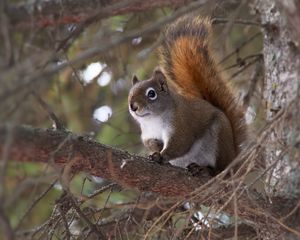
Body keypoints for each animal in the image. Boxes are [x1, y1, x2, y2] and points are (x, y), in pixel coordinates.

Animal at [127, 15, 247, 172]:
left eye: (151, 94)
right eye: (130, 93)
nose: (133, 106)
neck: (153, 119)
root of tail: (234, 159)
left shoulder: (181, 124)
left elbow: (180, 144)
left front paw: (161, 156)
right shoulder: (148, 134)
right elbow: (152, 143)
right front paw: (155, 150)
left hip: (220, 140)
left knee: (221, 169)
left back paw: (206, 169)